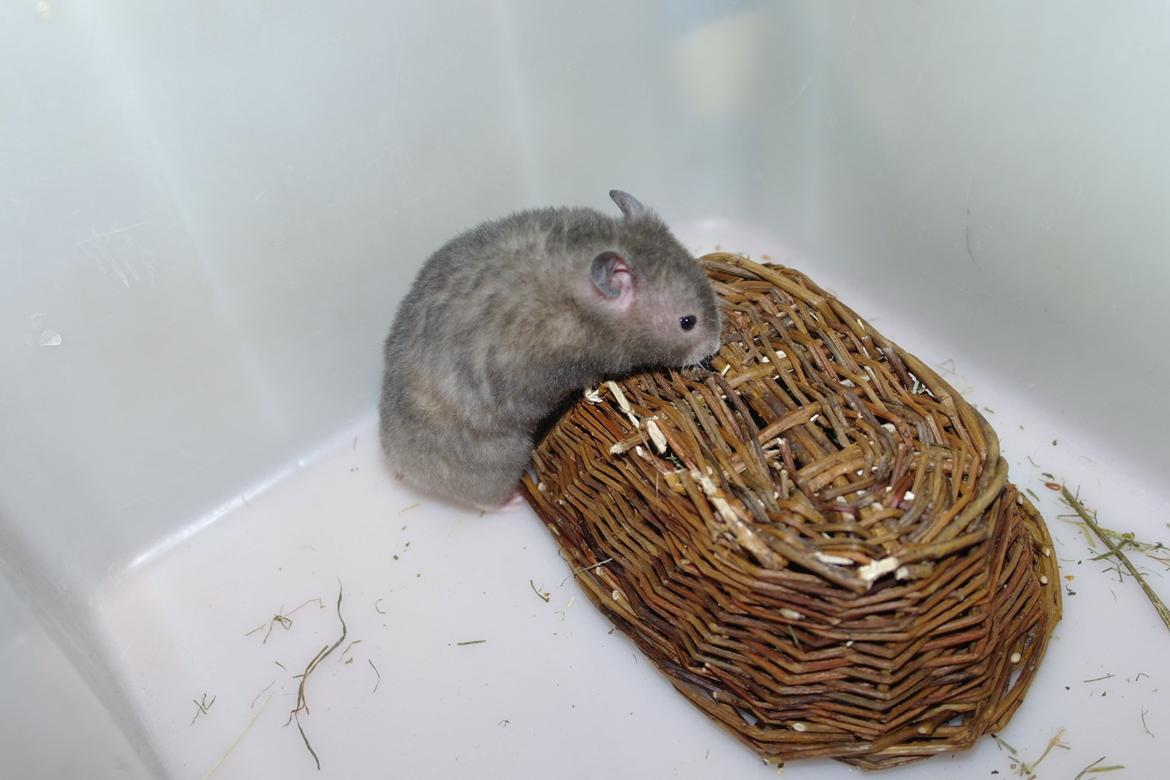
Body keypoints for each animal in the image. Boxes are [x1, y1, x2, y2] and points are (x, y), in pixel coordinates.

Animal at [378, 189, 722, 510]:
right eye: (687, 322)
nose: (715, 346)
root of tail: (394, 457)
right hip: (500, 457)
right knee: (484, 500)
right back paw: (514, 500)